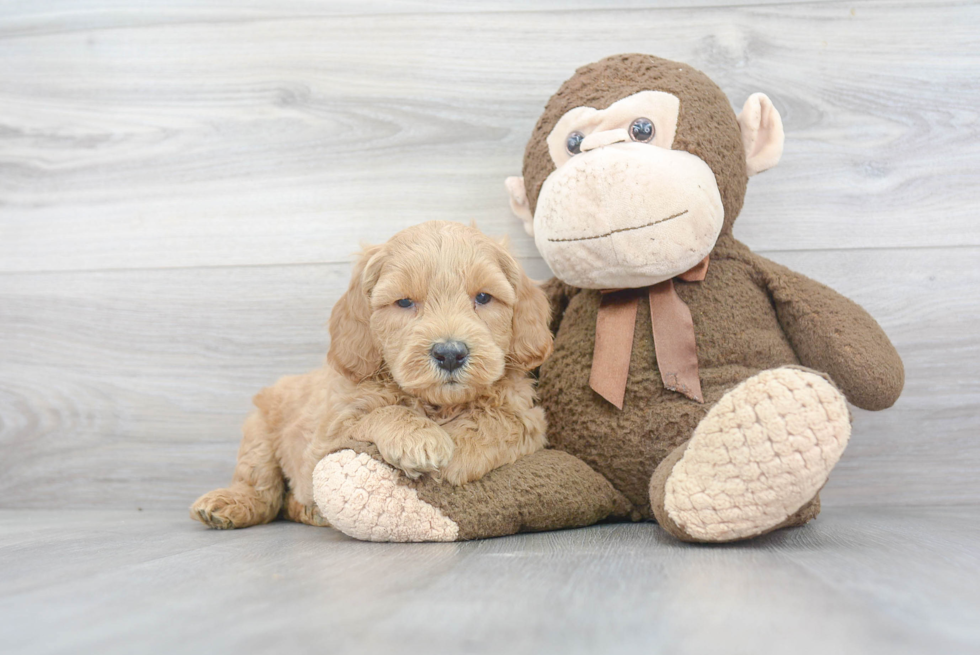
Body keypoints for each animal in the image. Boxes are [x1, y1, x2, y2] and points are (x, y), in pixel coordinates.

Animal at [191, 223, 556, 532]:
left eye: (483, 297)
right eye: (404, 302)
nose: (450, 353)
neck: (438, 404)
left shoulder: (529, 415)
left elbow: (501, 419)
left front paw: (460, 453)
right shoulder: (329, 431)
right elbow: (383, 412)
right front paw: (420, 438)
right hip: (259, 430)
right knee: (261, 486)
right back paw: (230, 503)